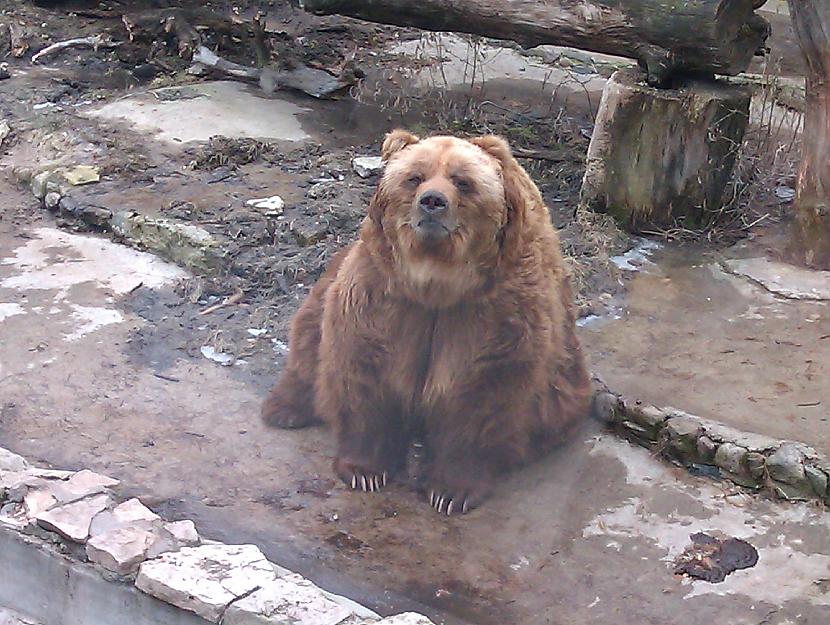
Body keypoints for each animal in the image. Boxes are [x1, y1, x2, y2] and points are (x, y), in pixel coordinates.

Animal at [260, 130, 592, 512]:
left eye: (462, 181)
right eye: (414, 177)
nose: (432, 201)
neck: (436, 283)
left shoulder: (491, 312)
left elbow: (479, 391)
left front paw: (451, 491)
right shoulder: (386, 296)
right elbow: (365, 369)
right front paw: (364, 469)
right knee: (309, 335)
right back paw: (284, 407)